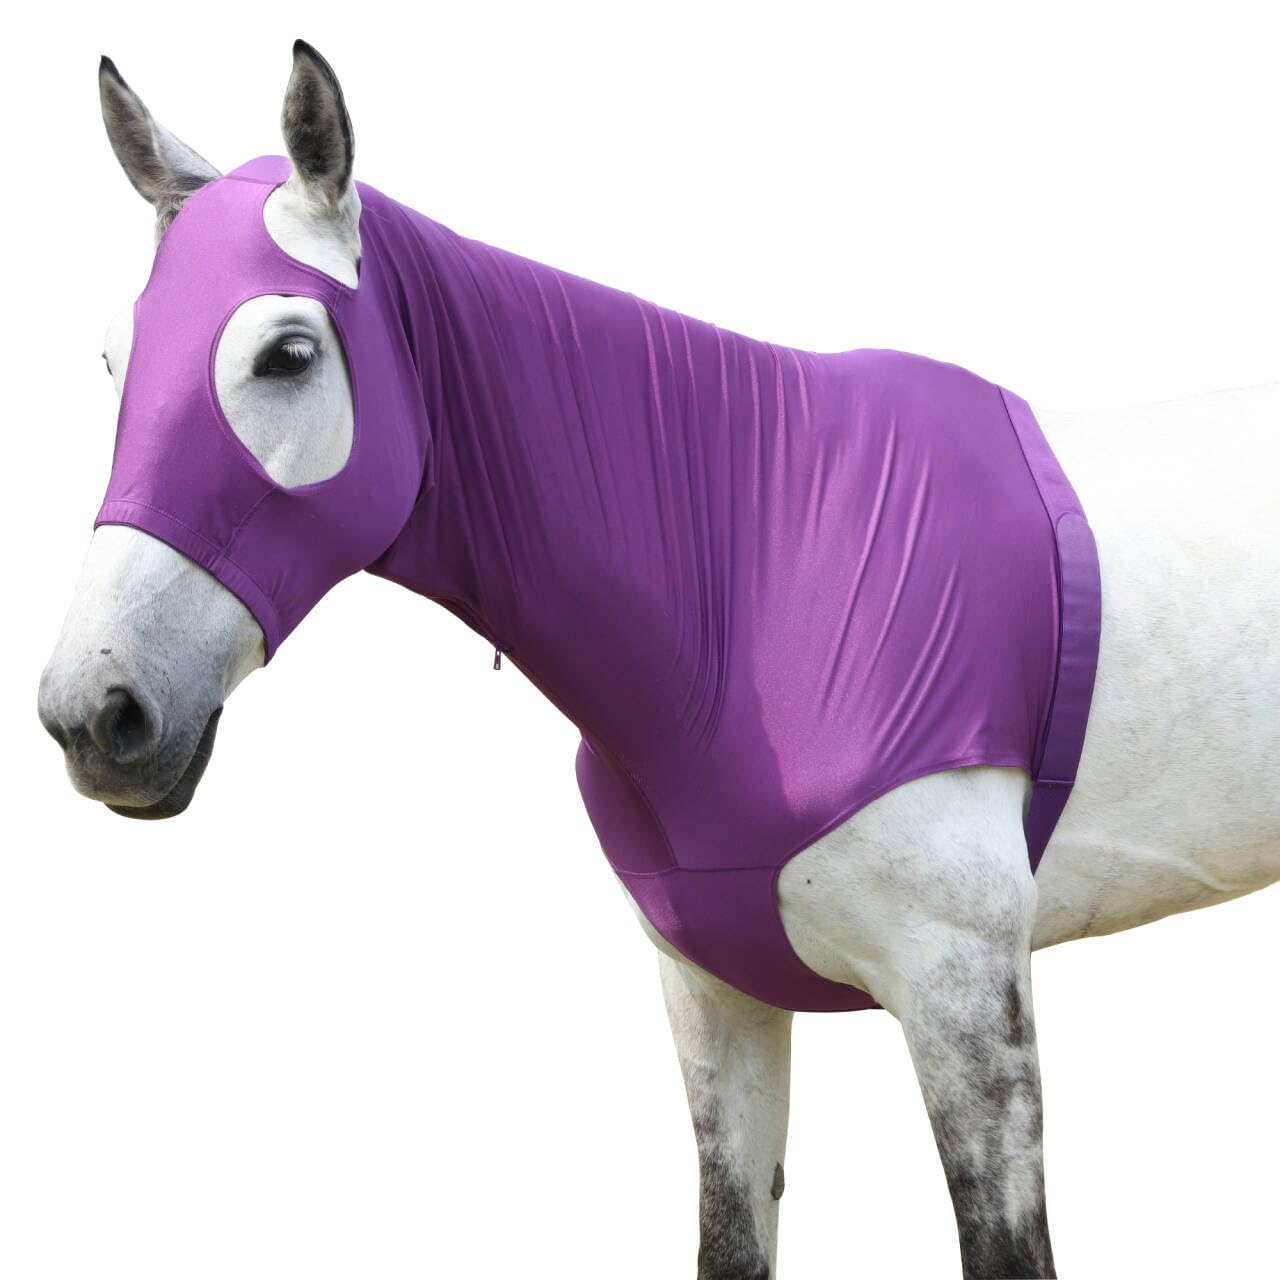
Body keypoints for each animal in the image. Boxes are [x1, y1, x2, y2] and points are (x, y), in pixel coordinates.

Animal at [36, 41, 1280, 1280]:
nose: (94, 710)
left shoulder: (964, 996)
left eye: (286, 353)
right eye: (111, 360)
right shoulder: (711, 992)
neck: (755, 569)